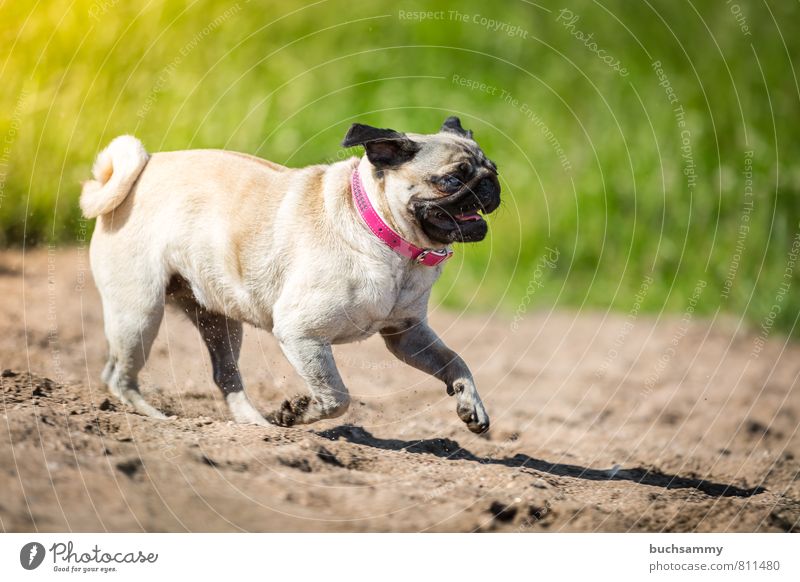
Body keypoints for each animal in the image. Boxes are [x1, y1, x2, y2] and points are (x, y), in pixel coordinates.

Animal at [84, 117, 504, 434]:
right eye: (452, 180)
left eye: (493, 169)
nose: (490, 184)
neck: (381, 231)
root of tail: (143, 171)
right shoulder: (301, 334)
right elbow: (336, 396)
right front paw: (296, 413)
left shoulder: (407, 336)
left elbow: (455, 361)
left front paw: (470, 403)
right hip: (140, 312)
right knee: (119, 375)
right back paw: (154, 417)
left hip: (218, 322)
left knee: (225, 376)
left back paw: (255, 425)